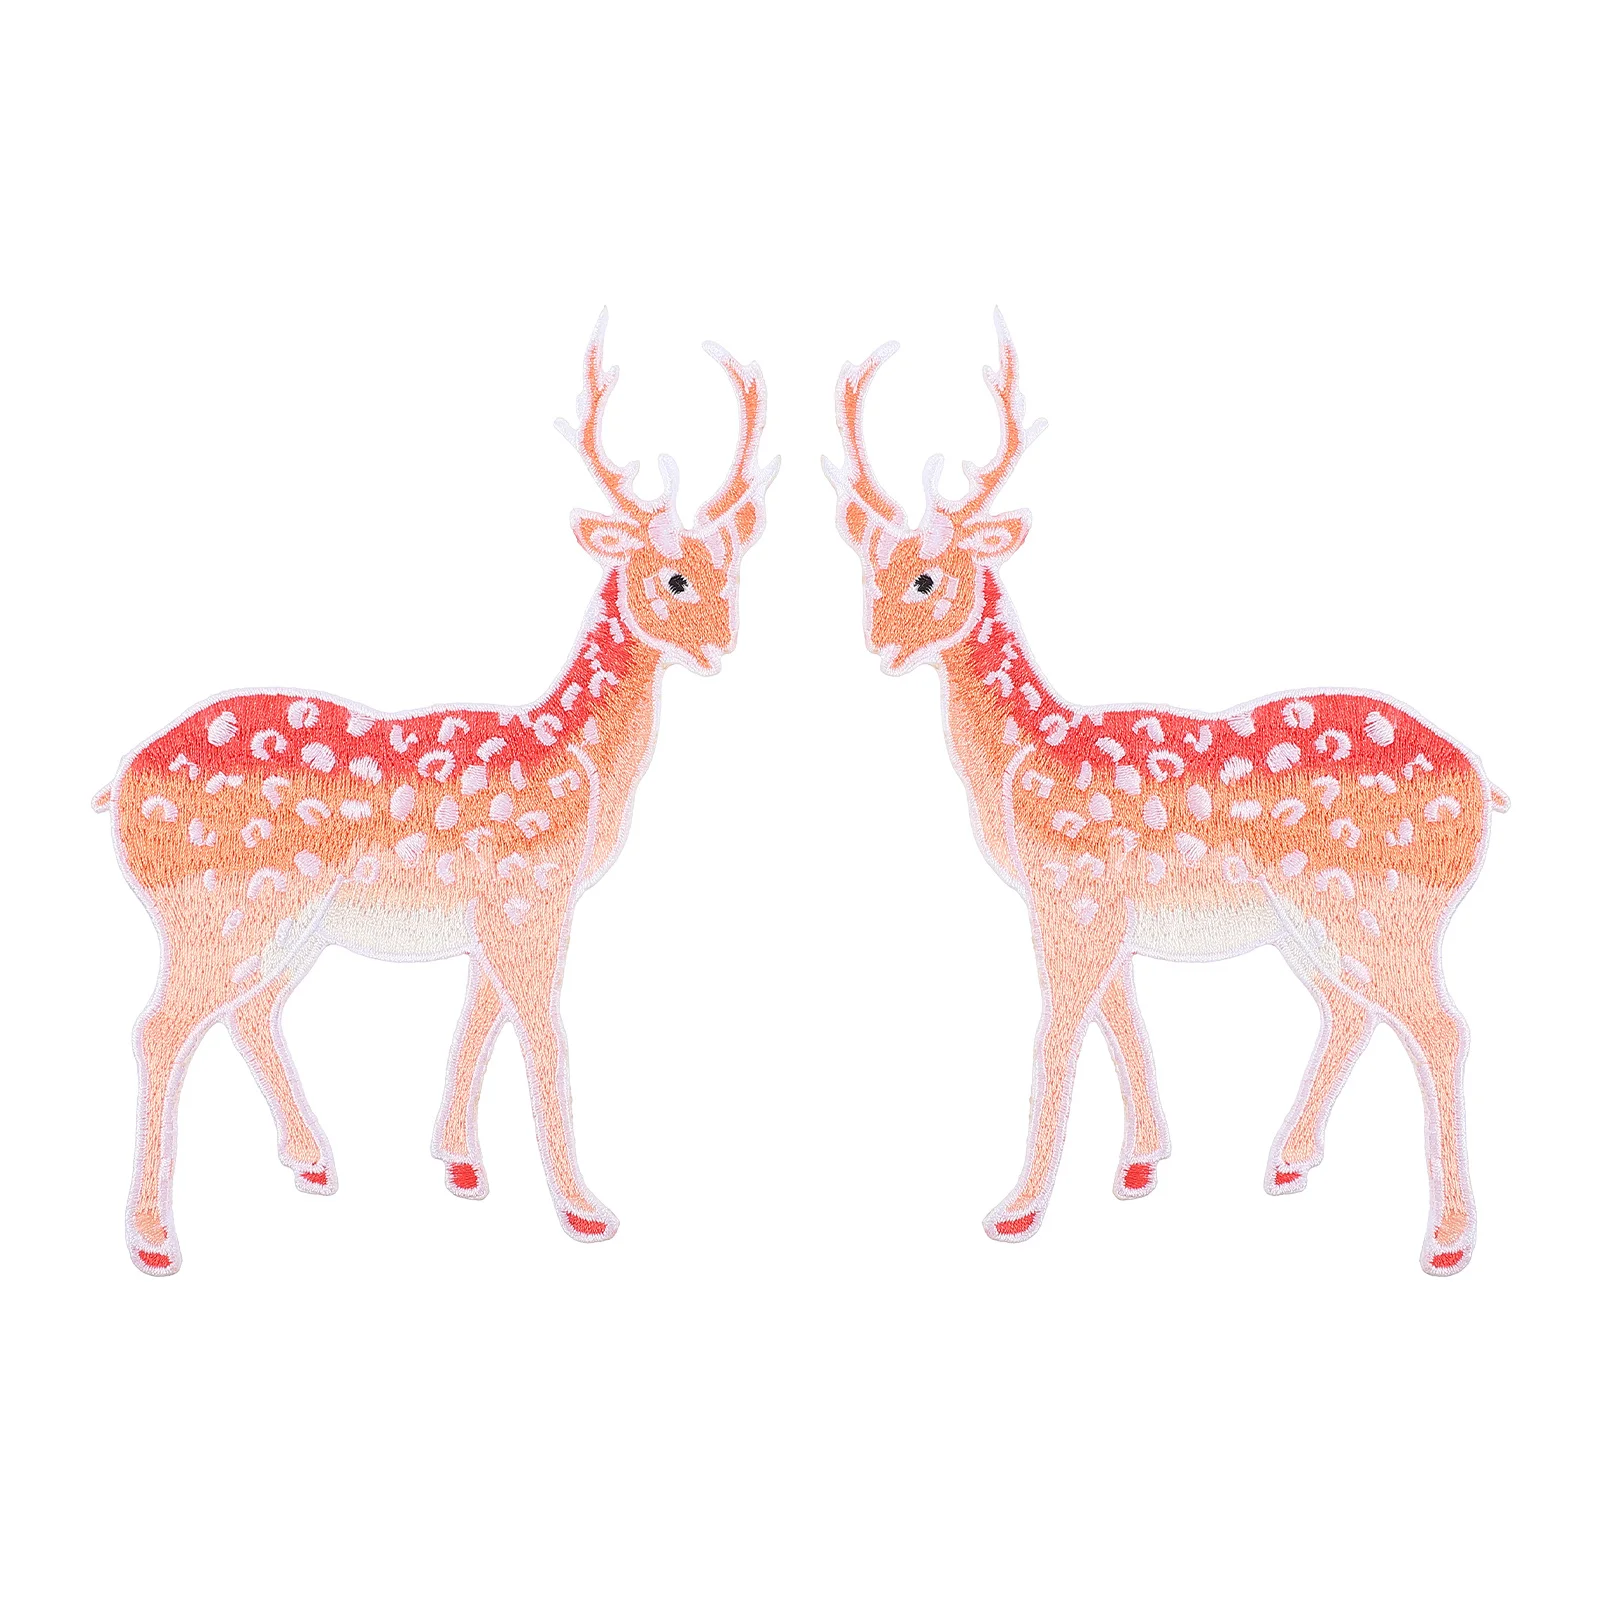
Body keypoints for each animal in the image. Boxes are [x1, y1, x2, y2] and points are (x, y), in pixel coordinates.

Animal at [95, 314, 776, 1275]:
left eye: (730, 568)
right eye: (670, 577)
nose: (721, 647)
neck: (574, 758)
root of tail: (116, 787)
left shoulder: (501, 909)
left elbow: (477, 1020)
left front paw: (460, 1165)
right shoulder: (530, 895)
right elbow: (543, 1036)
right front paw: (584, 1211)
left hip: (292, 924)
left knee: (248, 1013)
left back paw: (311, 1163)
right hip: (222, 908)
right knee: (160, 1028)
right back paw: (154, 1241)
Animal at [827, 313, 1507, 1275]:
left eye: (931, 577)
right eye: (871, 569)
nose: (880, 648)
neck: (1027, 757)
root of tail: (1486, 787)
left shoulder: (1071, 895)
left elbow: (1058, 1037)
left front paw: (1017, 1211)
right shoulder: (1101, 909)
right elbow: (1124, 1022)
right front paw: (1141, 1166)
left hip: (1380, 909)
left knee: (1442, 1029)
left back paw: (1447, 1241)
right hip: (1310, 925)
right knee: (1353, 1013)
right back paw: (1290, 1163)